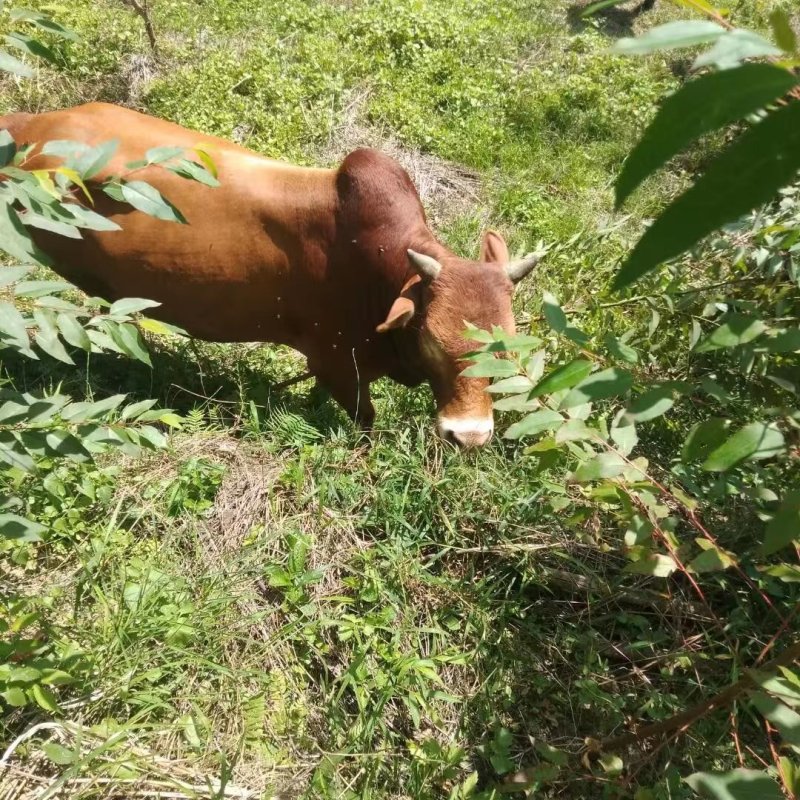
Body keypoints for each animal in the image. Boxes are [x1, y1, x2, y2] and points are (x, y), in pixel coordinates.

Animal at [1, 101, 536, 444]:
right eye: (431, 341)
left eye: (511, 348)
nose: (469, 437)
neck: (382, 274)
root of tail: (26, 124)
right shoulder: (338, 365)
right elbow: (364, 421)